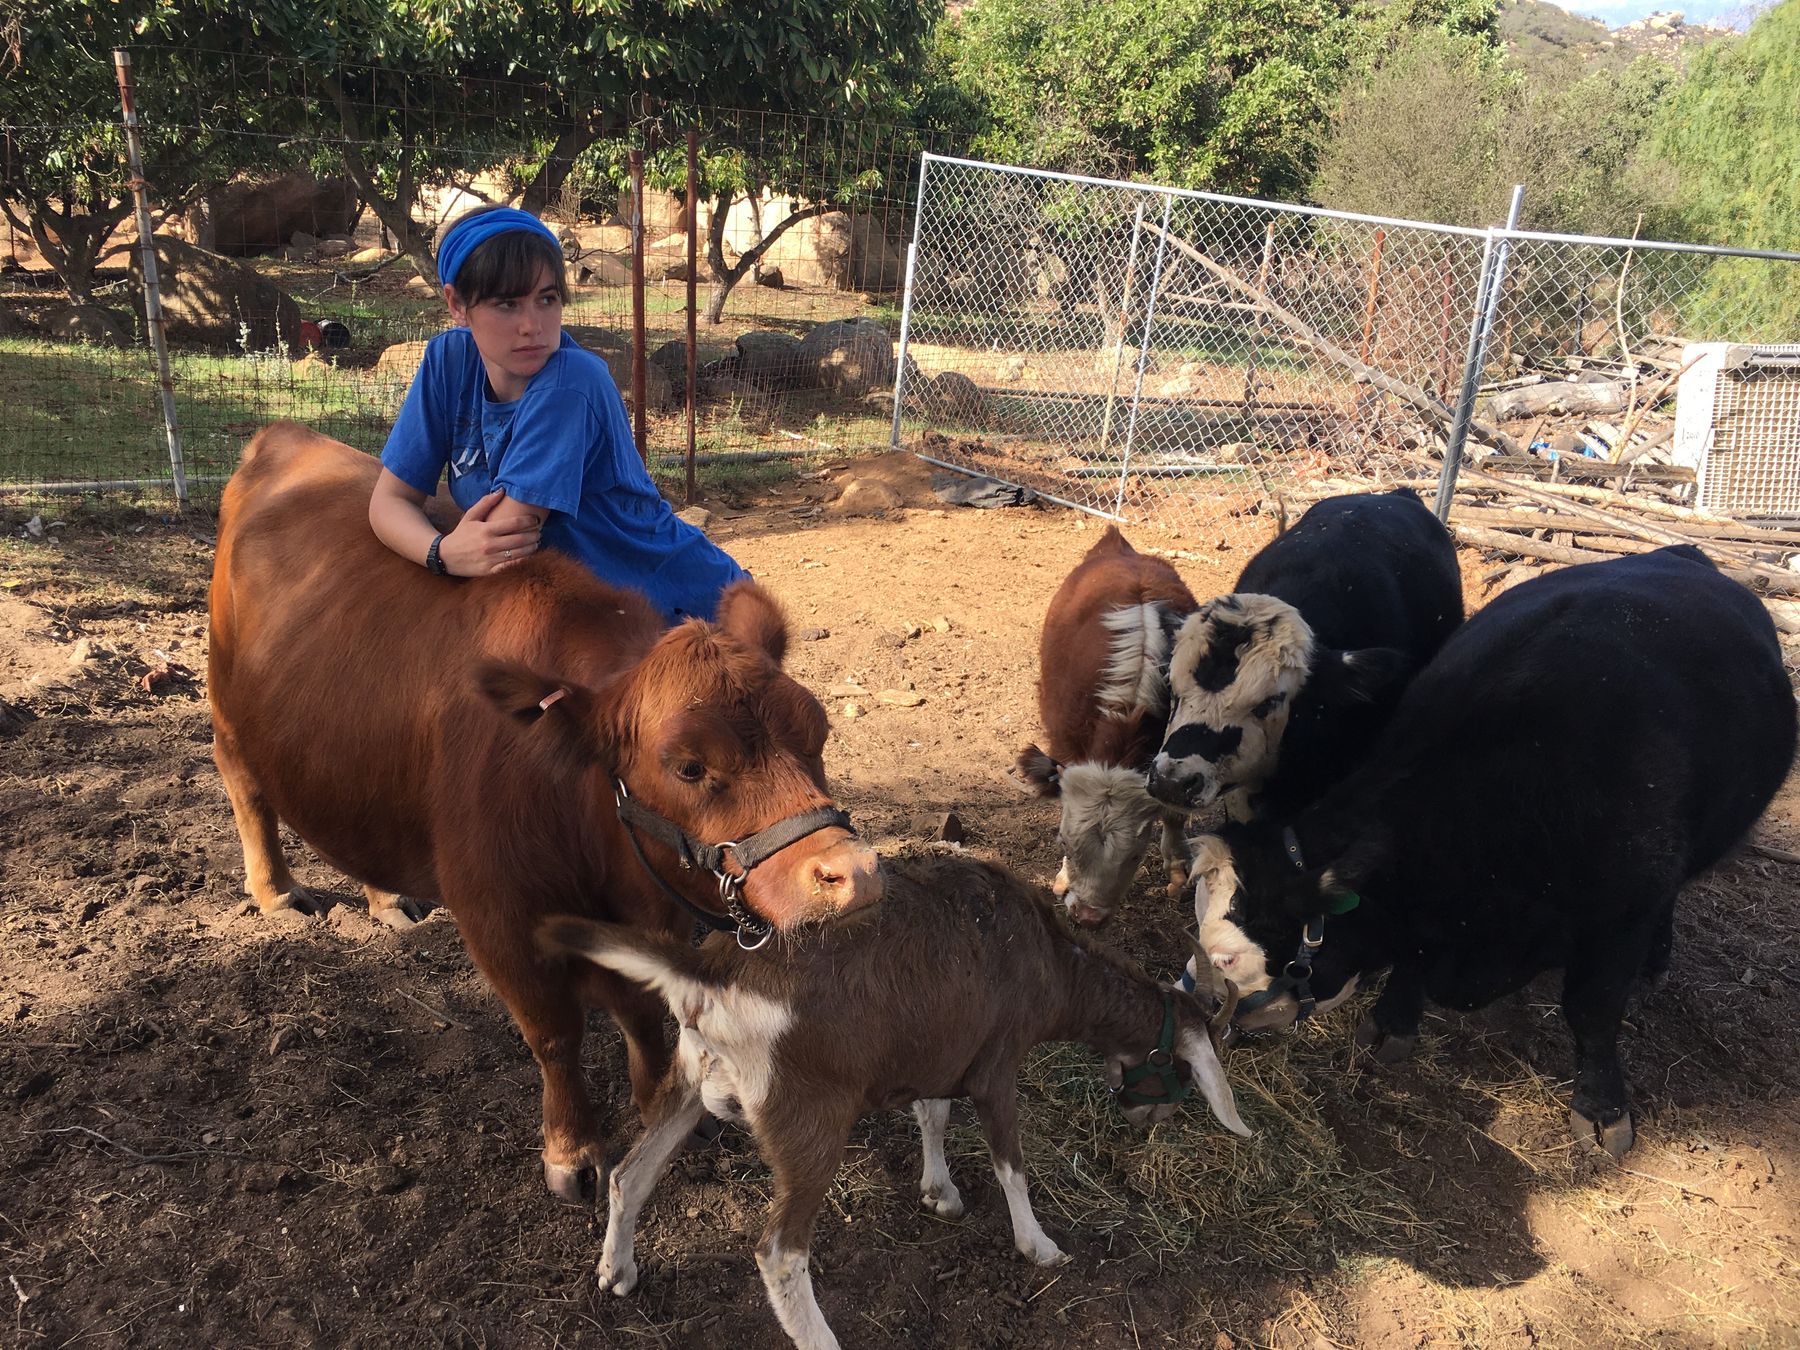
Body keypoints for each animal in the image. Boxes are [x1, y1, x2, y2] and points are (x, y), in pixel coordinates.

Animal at [207, 424, 882, 1202]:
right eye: (687, 766)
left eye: (818, 732)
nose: (854, 875)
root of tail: (285, 438)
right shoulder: (499, 919)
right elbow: (555, 1033)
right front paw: (573, 1151)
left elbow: (643, 1014)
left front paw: (659, 1108)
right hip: (227, 715)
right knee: (247, 791)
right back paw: (277, 893)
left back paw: (388, 900)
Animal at [540, 856, 1245, 1350]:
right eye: (1185, 1071)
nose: (1146, 1118)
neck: (1049, 958)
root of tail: (711, 975)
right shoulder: (996, 1064)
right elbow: (1010, 1164)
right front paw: (1039, 1246)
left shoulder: (939, 1050)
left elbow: (932, 1115)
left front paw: (940, 1192)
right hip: (808, 1117)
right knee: (779, 1253)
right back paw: (822, 1338)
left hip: (689, 1077)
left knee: (630, 1175)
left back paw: (617, 1272)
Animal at [1188, 550, 1792, 1166]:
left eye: (1231, 956)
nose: (1202, 999)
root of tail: (1674, 553)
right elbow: (1411, 961)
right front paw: (1392, 1022)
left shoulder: (1621, 917)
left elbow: (1593, 1010)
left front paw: (1602, 1108)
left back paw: (1658, 960)